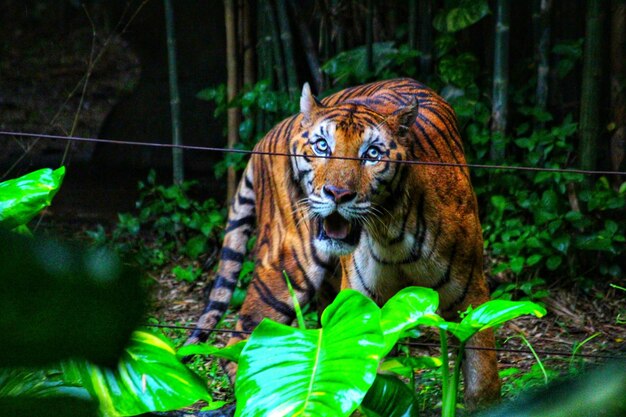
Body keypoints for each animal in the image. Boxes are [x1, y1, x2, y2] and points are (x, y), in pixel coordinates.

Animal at [188, 77, 500, 406]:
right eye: (322, 145)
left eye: (372, 153)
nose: (337, 194)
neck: (390, 233)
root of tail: (270, 134)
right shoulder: (359, 308)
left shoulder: (473, 300)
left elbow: (483, 380)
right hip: (289, 266)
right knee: (239, 342)